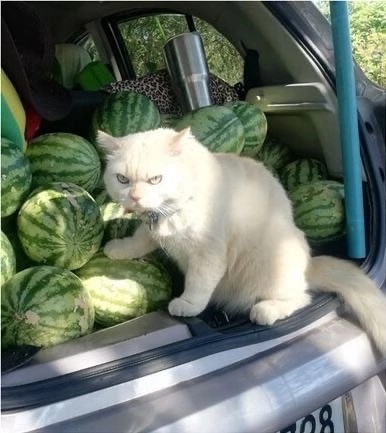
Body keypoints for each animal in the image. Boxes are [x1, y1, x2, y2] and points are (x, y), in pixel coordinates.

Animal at [98, 125, 386, 354]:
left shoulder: (209, 254)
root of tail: (309, 265)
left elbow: (198, 284)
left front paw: (187, 304)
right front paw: (117, 250)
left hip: (271, 265)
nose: (134, 198)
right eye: (122, 179)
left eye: (155, 179)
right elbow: (139, 240)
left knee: (301, 297)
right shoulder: (152, 229)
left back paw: (266, 310)